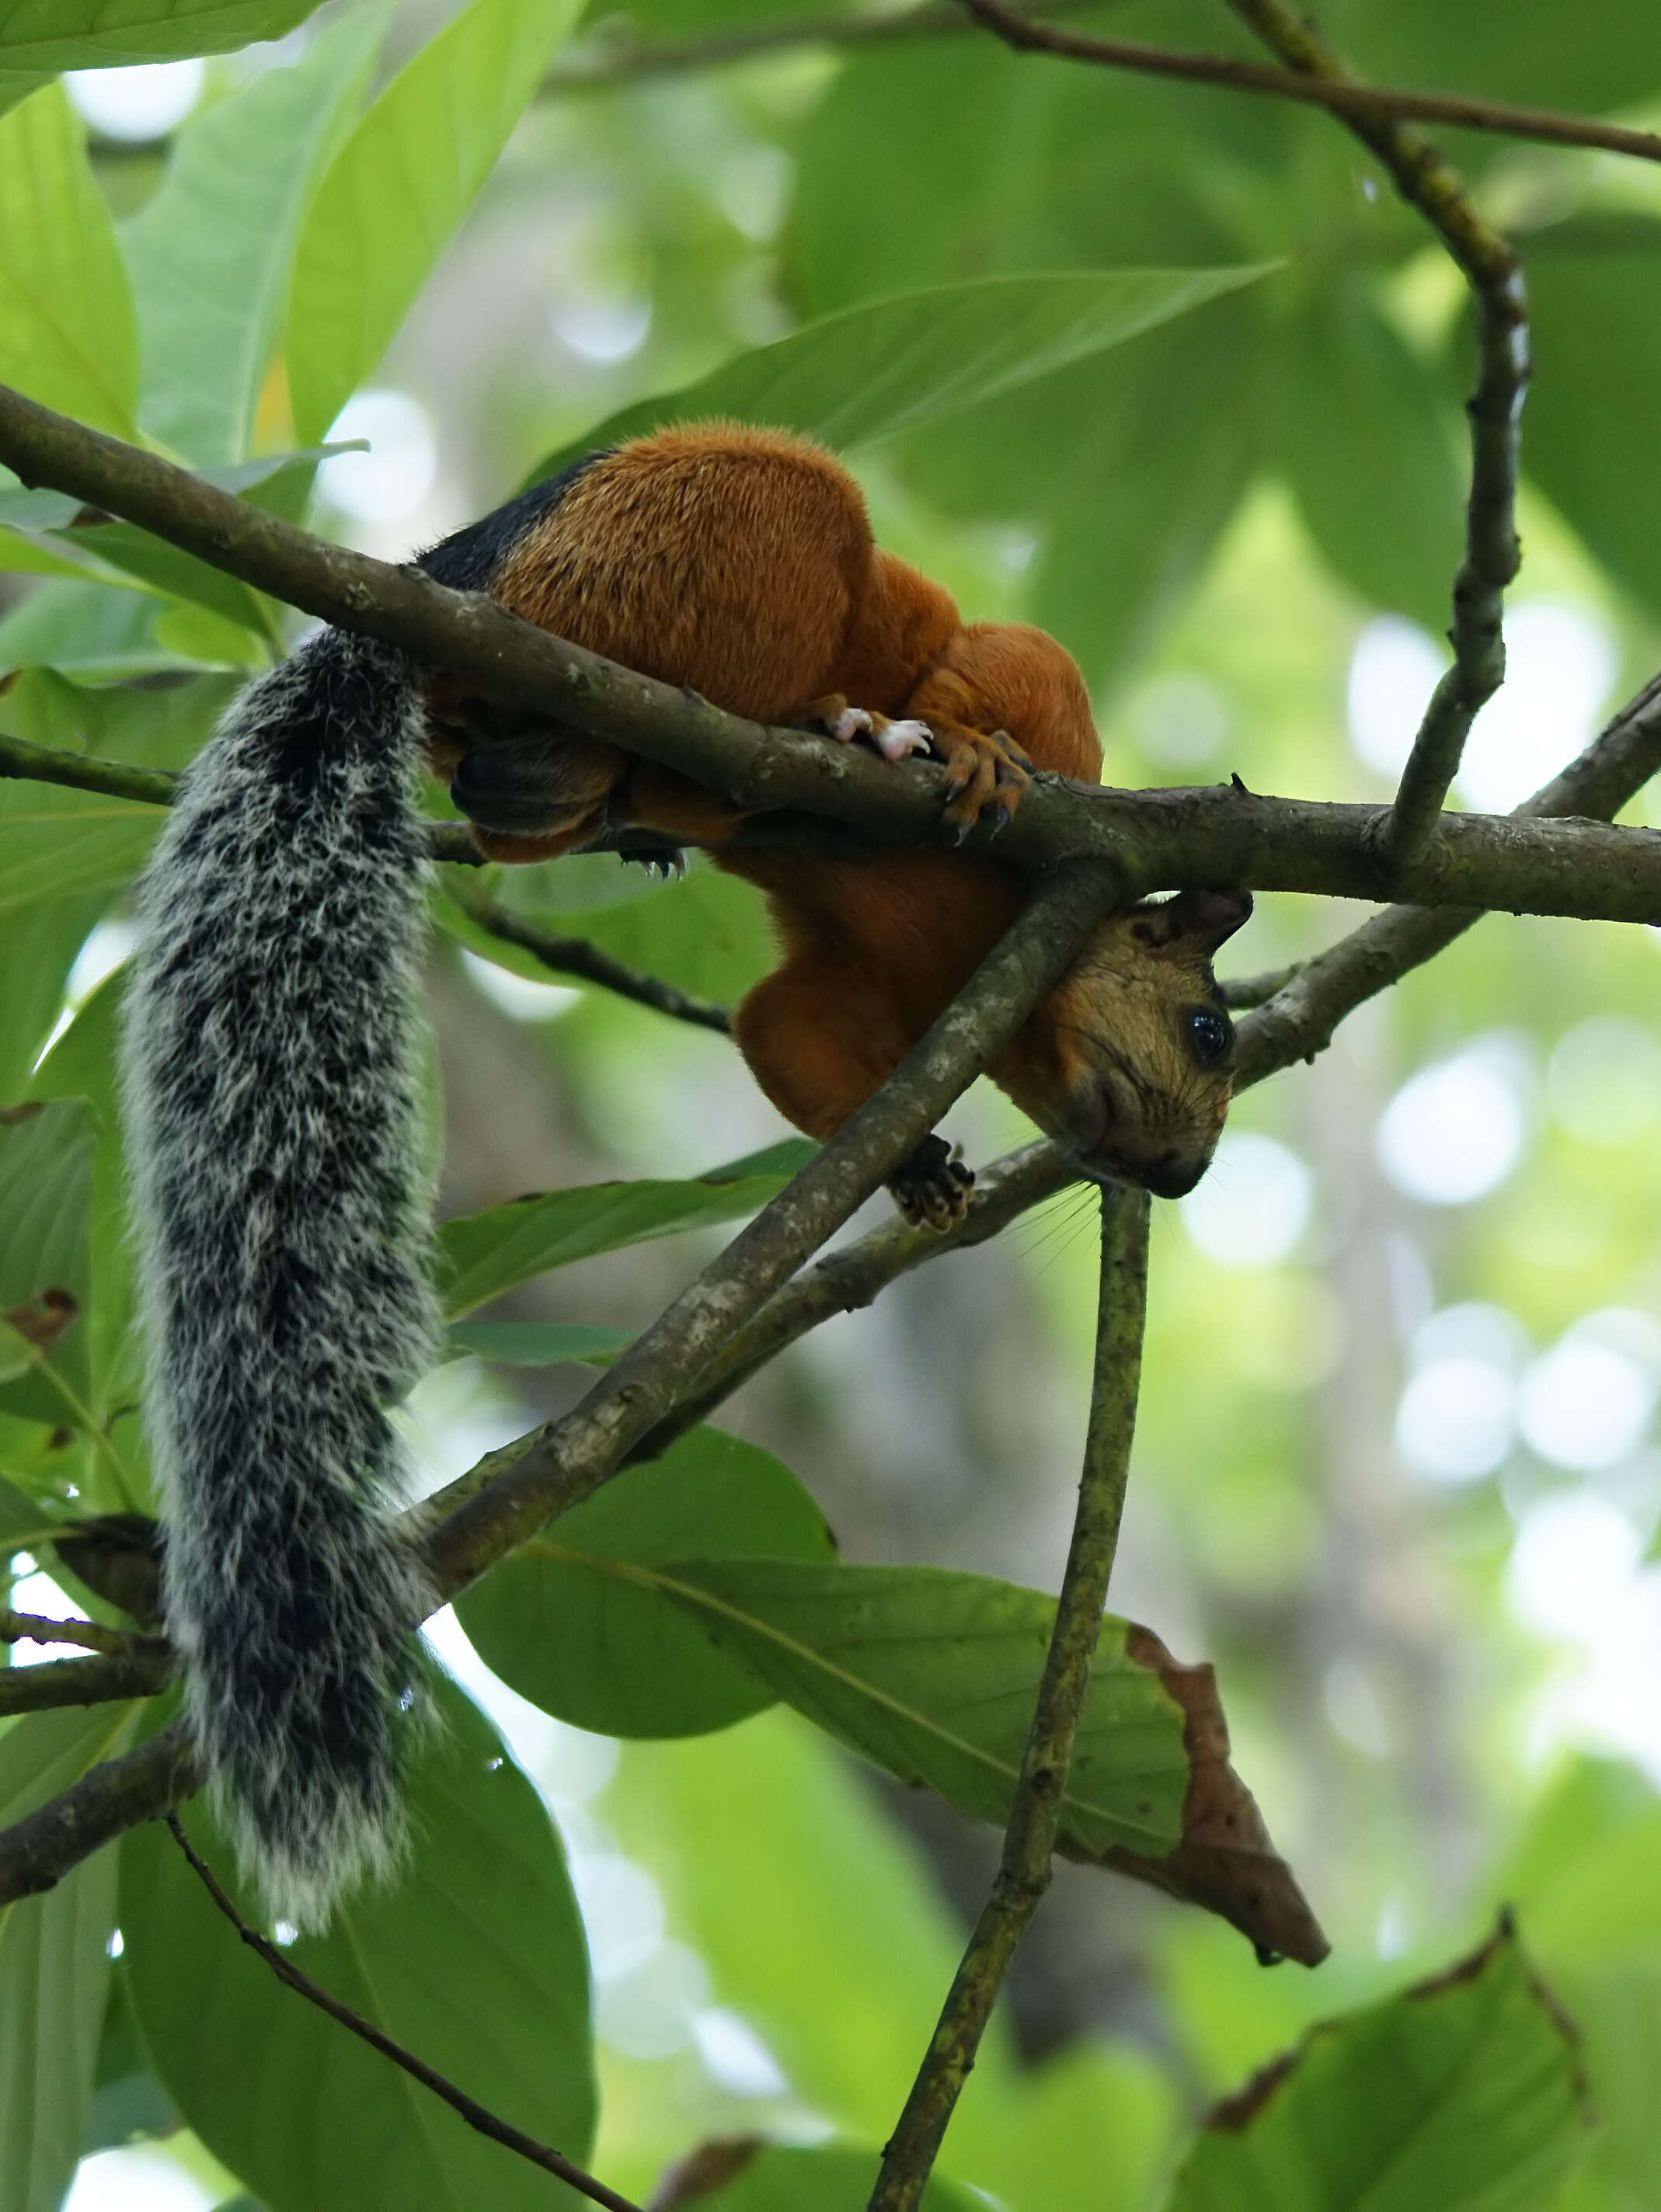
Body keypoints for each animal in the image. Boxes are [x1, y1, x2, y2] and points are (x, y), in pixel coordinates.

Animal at [126, 422, 1247, 1929]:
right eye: (1207, 1030)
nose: (1178, 1175)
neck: (992, 964)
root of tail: (456, 571)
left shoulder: (856, 991)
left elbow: (781, 1030)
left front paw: (924, 1170)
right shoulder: (1046, 731)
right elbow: (1001, 666)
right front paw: (968, 748)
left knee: (526, 798)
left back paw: (603, 787)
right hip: (726, 537)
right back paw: (829, 732)